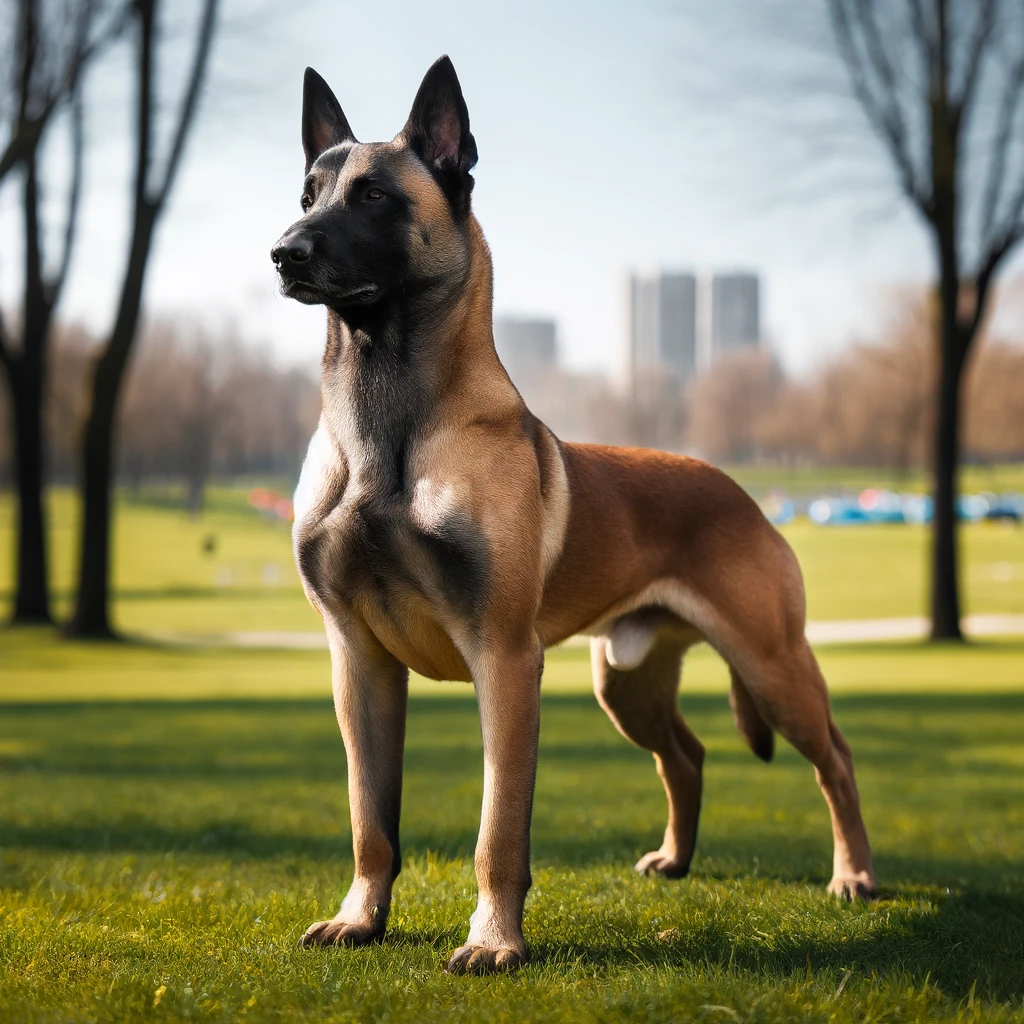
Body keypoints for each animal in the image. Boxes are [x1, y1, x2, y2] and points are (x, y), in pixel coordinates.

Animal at [274, 56, 880, 974]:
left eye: (374, 196)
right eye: (308, 193)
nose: (284, 252)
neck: (388, 419)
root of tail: (738, 489)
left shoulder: (504, 660)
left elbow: (498, 831)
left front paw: (493, 941)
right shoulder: (360, 663)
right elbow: (370, 821)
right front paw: (360, 919)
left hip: (773, 664)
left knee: (835, 758)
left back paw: (853, 875)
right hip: (624, 684)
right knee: (687, 755)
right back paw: (676, 860)